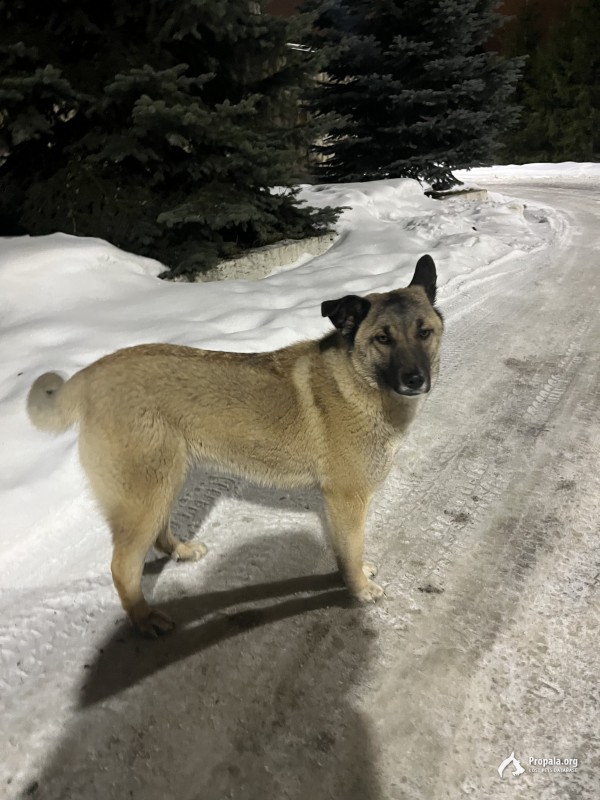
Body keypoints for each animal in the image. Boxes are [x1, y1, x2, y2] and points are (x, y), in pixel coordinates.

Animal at [27, 253, 440, 636]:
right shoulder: (346, 500)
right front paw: (358, 587)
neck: (360, 380)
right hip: (144, 494)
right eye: (382, 338)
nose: (415, 379)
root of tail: (89, 375)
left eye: (424, 332)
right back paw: (144, 618)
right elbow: (351, 552)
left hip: (163, 482)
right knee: (121, 566)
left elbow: (349, 550)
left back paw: (182, 552)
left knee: (158, 534)